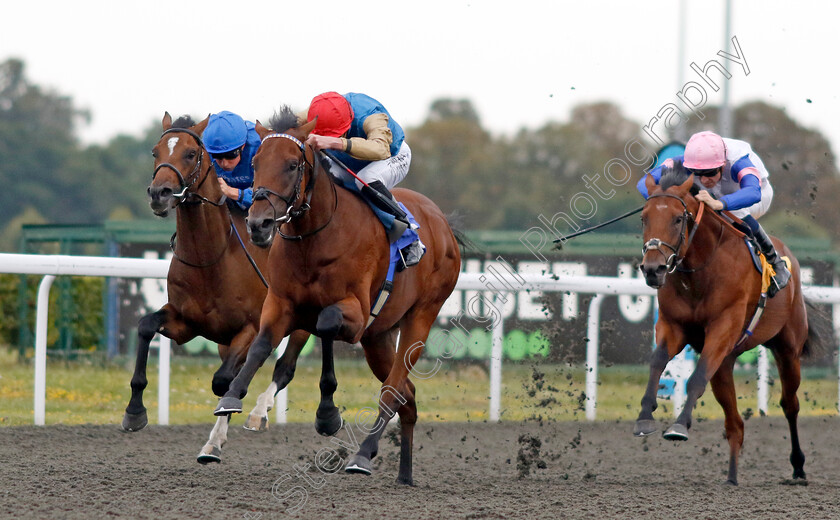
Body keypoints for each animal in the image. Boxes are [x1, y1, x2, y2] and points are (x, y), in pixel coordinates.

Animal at [130, 111, 314, 462]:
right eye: (155, 152)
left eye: (191, 153)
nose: (159, 193)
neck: (211, 259)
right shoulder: (184, 323)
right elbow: (145, 326)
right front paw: (134, 412)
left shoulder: (252, 327)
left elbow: (224, 380)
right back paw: (214, 442)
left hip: (298, 322)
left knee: (284, 369)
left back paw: (259, 413)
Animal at [210, 109, 460, 488]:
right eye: (255, 162)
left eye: (293, 164)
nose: (258, 224)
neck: (315, 236)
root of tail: (443, 223)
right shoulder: (281, 302)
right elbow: (262, 345)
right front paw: (230, 398)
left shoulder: (355, 312)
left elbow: (325, 323)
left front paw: (327, 415)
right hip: (378, 337)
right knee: (407, 394)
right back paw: (404, 474)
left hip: (422, 316)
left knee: (393, 390)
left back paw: (362, 455)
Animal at [632, 165, 816, 486]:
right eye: (644, 217)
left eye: (677, 218)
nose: (653, 269)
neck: (700, 269)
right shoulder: (673, 326)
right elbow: (657, 361)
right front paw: (645, 415)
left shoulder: (723, 328)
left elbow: (696, 378)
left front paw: (679, 426)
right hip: (726, 364)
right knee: (735, 424)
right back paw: (731, 477)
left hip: (787, 349)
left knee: (789, 404)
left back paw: (798, 467)